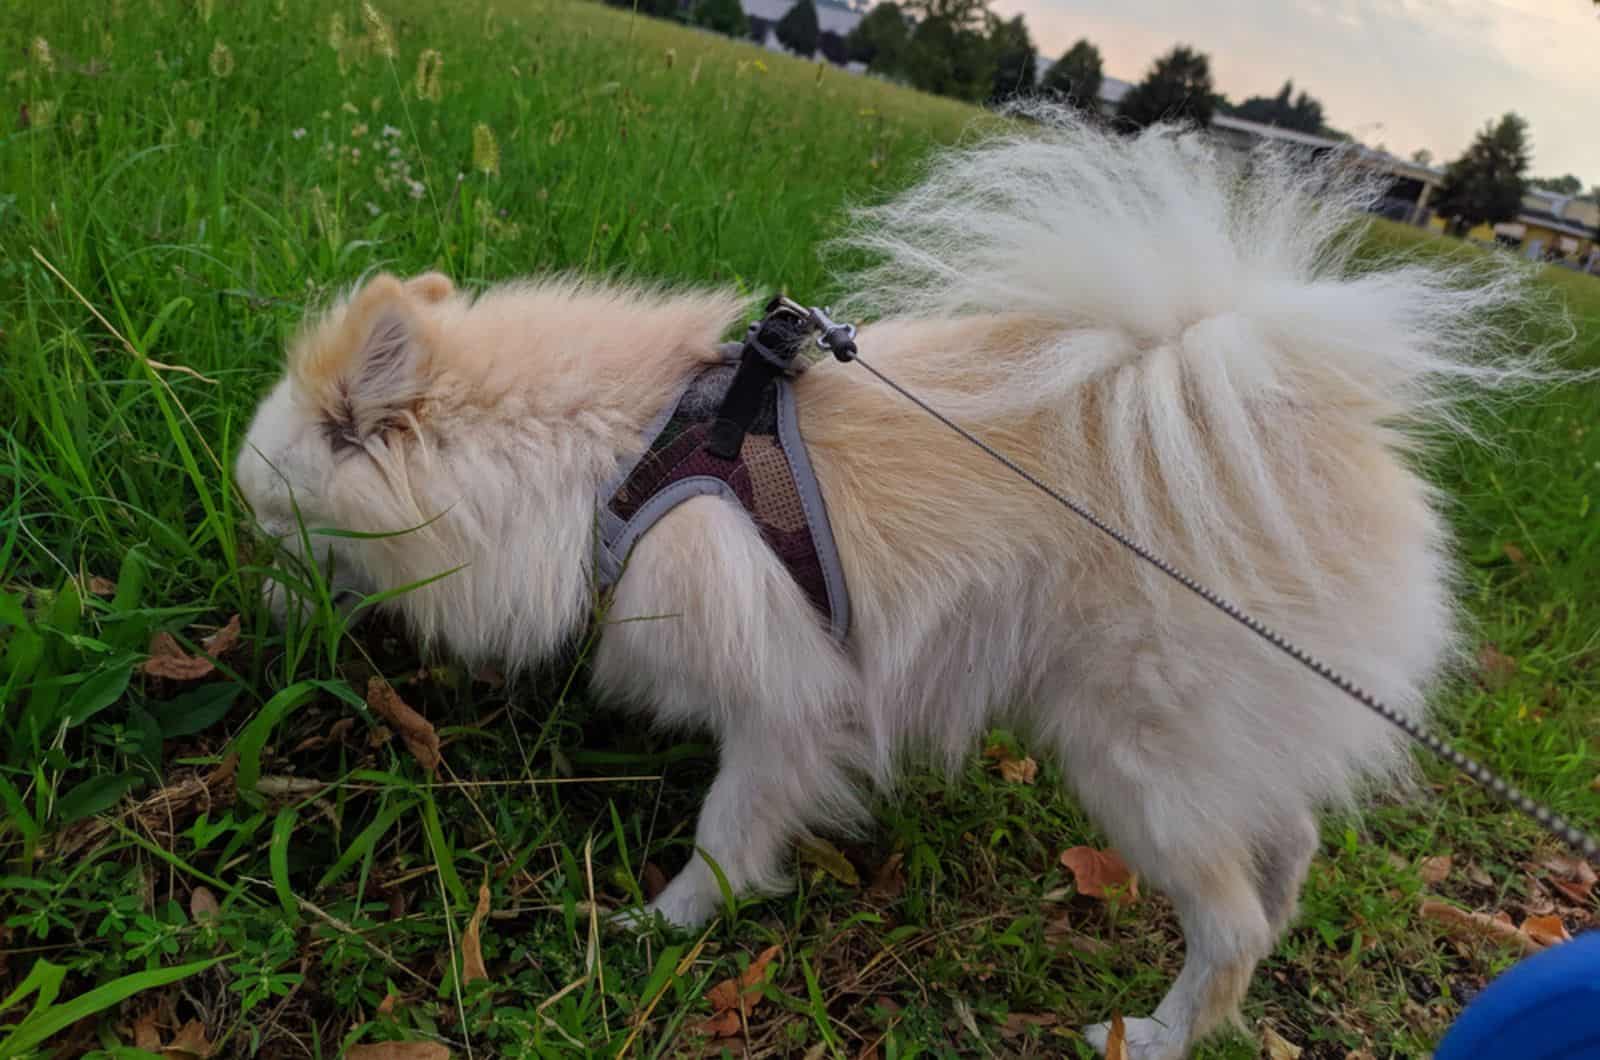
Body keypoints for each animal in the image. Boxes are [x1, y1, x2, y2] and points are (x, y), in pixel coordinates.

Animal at [233, 112, 1536, 1056]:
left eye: (270, 528)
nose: (255, 625)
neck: (612, 456)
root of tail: (1277, 407)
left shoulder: (789, 696)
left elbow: (728, 830)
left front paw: (661, 928)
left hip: (1133, 754)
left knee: (1226, 925)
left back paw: (1154, 1033)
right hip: (1218, 741)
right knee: (1285, 849)